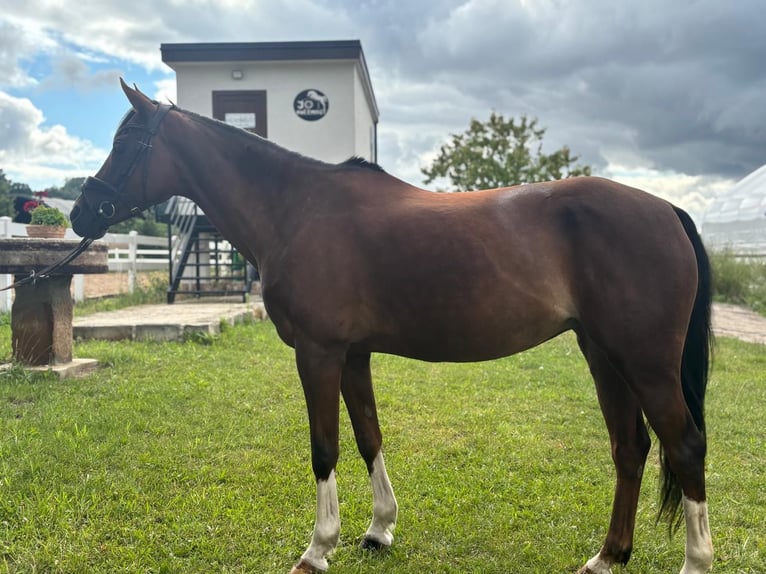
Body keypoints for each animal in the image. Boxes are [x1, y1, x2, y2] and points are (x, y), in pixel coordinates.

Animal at [71, 80, 714, 574]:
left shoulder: (319, 352)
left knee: (683, 445)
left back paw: (693, 561)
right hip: (603, 354)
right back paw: (608, 556)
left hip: (646, 362)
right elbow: (368, 437)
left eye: (125, 143)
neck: (297, 210)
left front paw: (317, 549)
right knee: (630, 448)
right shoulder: (353, 356)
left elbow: (324, 447)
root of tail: (665, 210)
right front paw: (378, 531)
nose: (80, 212)